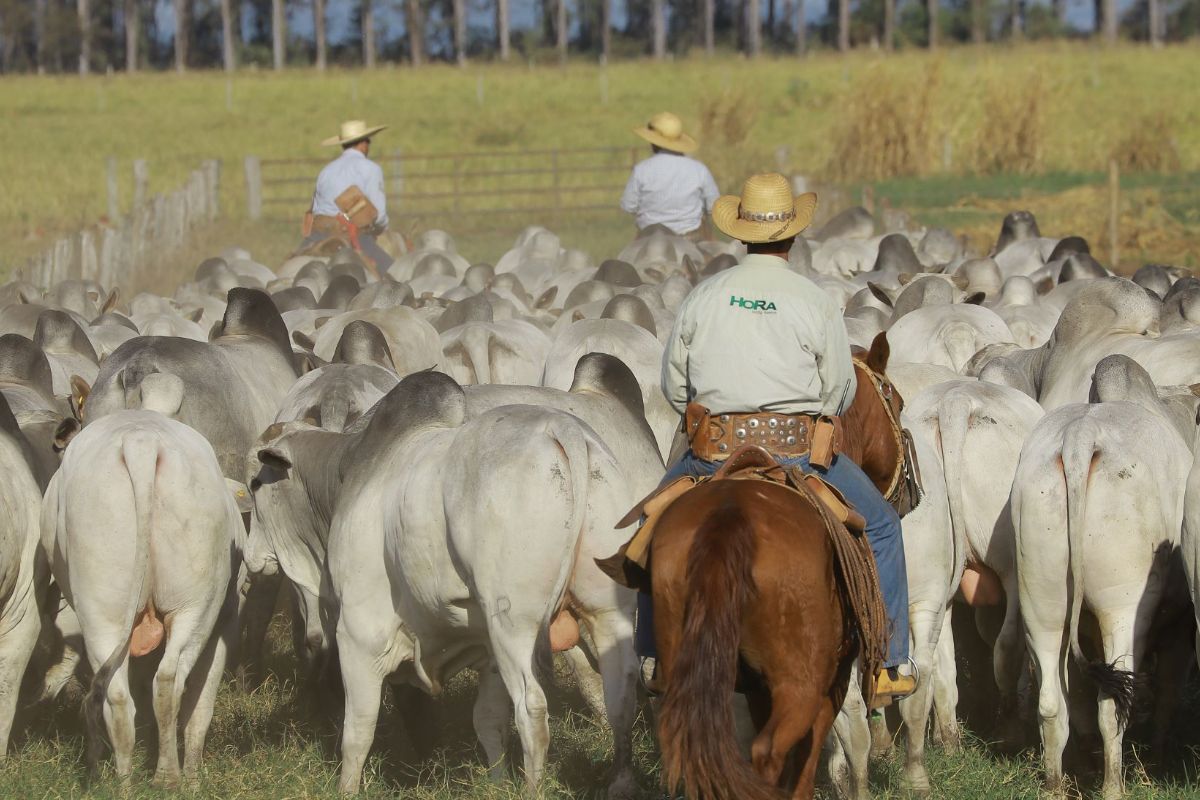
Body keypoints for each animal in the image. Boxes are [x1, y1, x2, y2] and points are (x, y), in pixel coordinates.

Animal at [42, 412, 246, 786]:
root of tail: (141, 440)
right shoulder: (227, 619)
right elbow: (200, 705)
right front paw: (194, 776)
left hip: (102, 610)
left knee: (121, 695)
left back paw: (128, 781)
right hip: (196, 606)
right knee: (168, 681)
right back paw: (170, 777)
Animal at [652, 333, 902, 800]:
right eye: (897, 400)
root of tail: (730, 517)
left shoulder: (755, 686)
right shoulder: (830, 683)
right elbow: (806, 758)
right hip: (799, 684)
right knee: (767, 753)